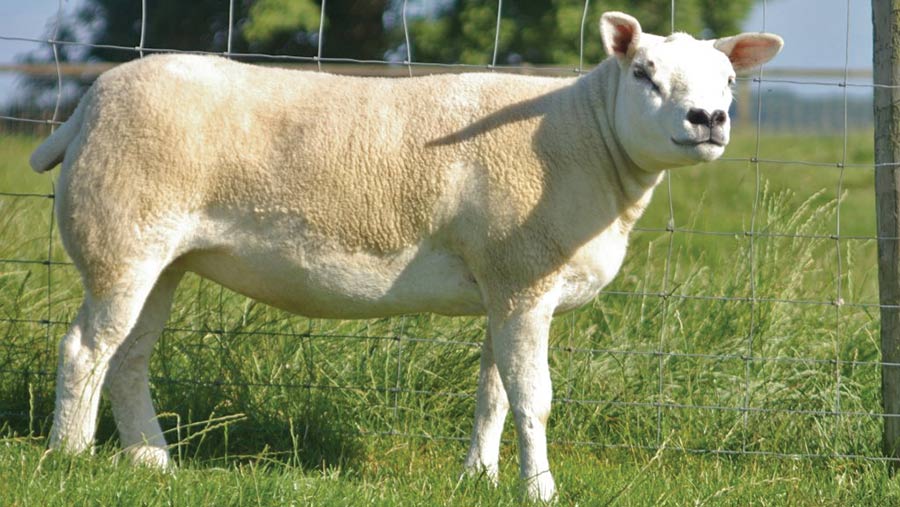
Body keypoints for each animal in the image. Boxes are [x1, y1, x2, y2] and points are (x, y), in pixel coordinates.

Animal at [29, 12, 780, 504]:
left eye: (729, 82)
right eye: (645, 73)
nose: (709, 120)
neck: (585, 139)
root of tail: (89, 104)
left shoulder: (502, 282)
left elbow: (493, 393)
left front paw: (477, 477)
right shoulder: (525, 278)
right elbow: (534, 398)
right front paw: (540, 489)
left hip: (163, 256)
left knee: (129, 356)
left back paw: (151, 461)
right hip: (120, 236)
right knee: (85, 348)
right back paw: (71, 457)